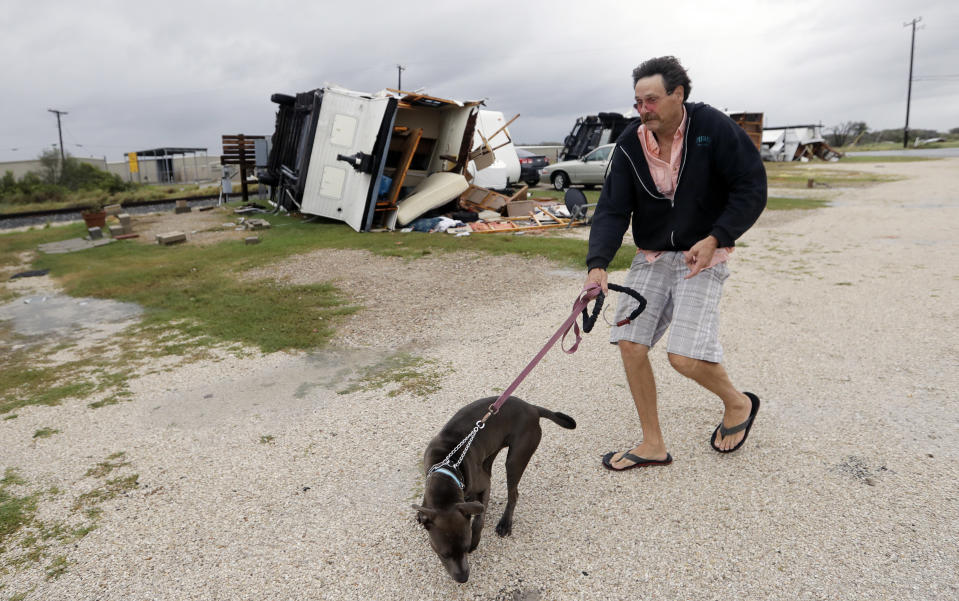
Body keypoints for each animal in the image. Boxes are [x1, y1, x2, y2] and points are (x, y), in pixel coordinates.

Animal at [412, 394, 576, 580]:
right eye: (444, 554)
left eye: (466, 548)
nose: (463, 578)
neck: (447, 467)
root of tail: (532, 408)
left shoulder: (484, 486)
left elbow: (479, 520)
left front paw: (476, 540)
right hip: (493, 450)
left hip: (515, 459)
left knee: (513, 494)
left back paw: (505, 523)